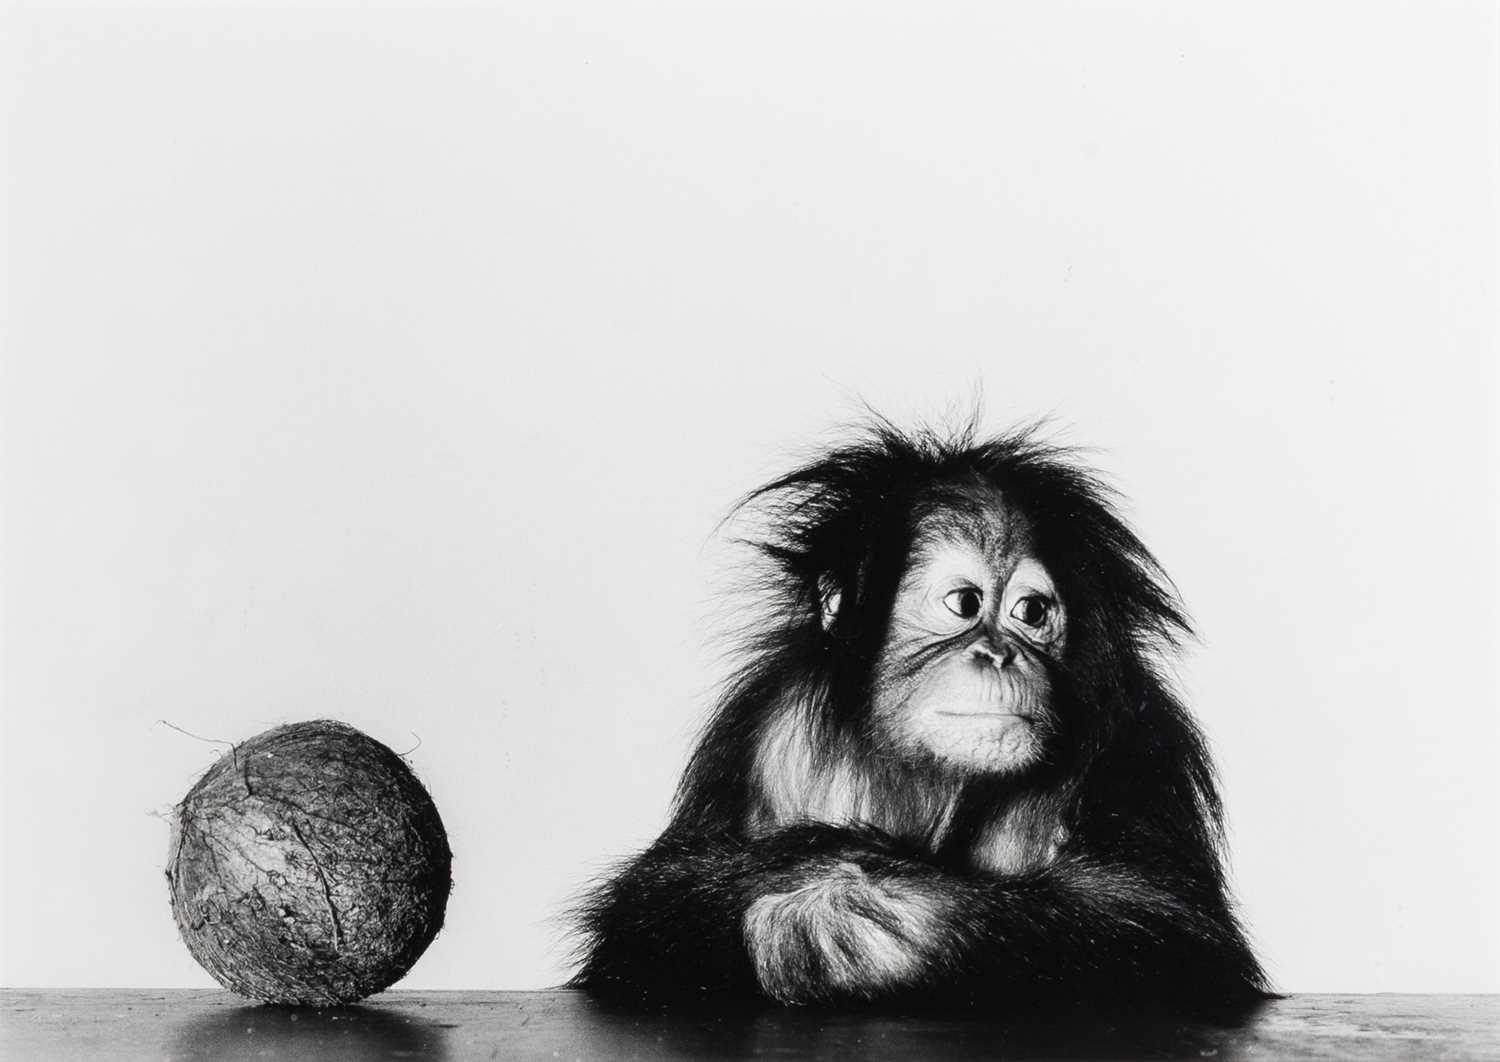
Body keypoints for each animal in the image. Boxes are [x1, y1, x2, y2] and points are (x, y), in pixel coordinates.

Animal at [569, 418, 1268, 1011]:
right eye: (964, 604)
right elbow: (655, 893)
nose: (1003, 654)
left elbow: (1164, 920)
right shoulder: (769, 720)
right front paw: (825, 888)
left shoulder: (1134, 735)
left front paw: (877, 913)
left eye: (1032, 613)